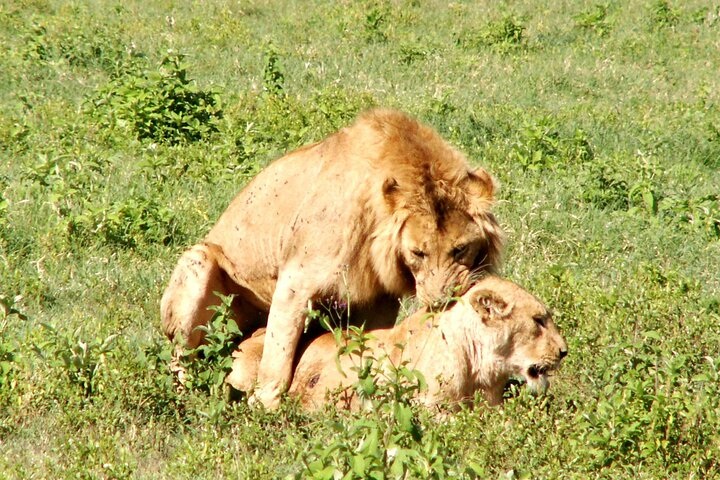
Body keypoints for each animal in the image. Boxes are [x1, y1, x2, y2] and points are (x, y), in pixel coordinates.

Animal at [161, 109, 504, 408]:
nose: (439, 302)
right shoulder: (295, 281)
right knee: (180, 358)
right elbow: (277, 358)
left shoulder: (379, 296)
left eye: (460, 249)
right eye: (418, 253)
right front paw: (264, 408)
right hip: (198, 258)